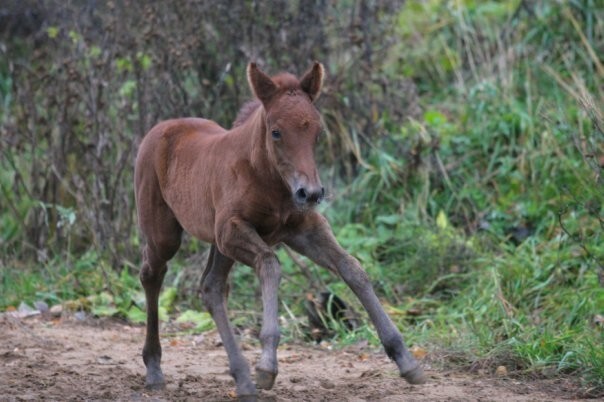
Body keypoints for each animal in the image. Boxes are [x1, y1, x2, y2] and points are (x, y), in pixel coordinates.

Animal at [133, 61, 424, 400]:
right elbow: (270, 265)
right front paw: (267, 366)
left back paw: (242, 380)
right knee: (152, 274)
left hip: (218, 244)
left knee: (211, 287)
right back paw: (155, 370)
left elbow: (351, 267)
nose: (310, 193)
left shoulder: (303, 228)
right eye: (276, 132)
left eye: (318, 132)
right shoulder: (233, 230)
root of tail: (159, 129)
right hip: (165, 233)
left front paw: (405, 359)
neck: (267, 179)